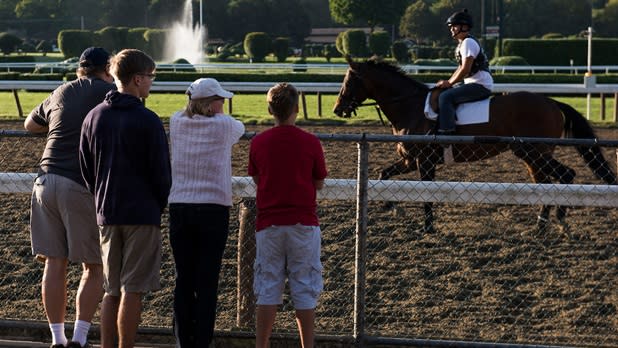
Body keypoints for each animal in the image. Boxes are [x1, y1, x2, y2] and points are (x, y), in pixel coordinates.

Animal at [334, 57, 612, 234]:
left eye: (349, 81)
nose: (337, 108)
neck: (410, 107)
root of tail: (551, 102)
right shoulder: (409, 160)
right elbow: (383, 174)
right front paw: (392, 207)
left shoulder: (424, 161)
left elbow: (426, 194)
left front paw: (427, 227)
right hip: (530, 156)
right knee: (546, 183)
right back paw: (541, 224)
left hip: (535, 152)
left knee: (566, 175)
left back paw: (559, 220)